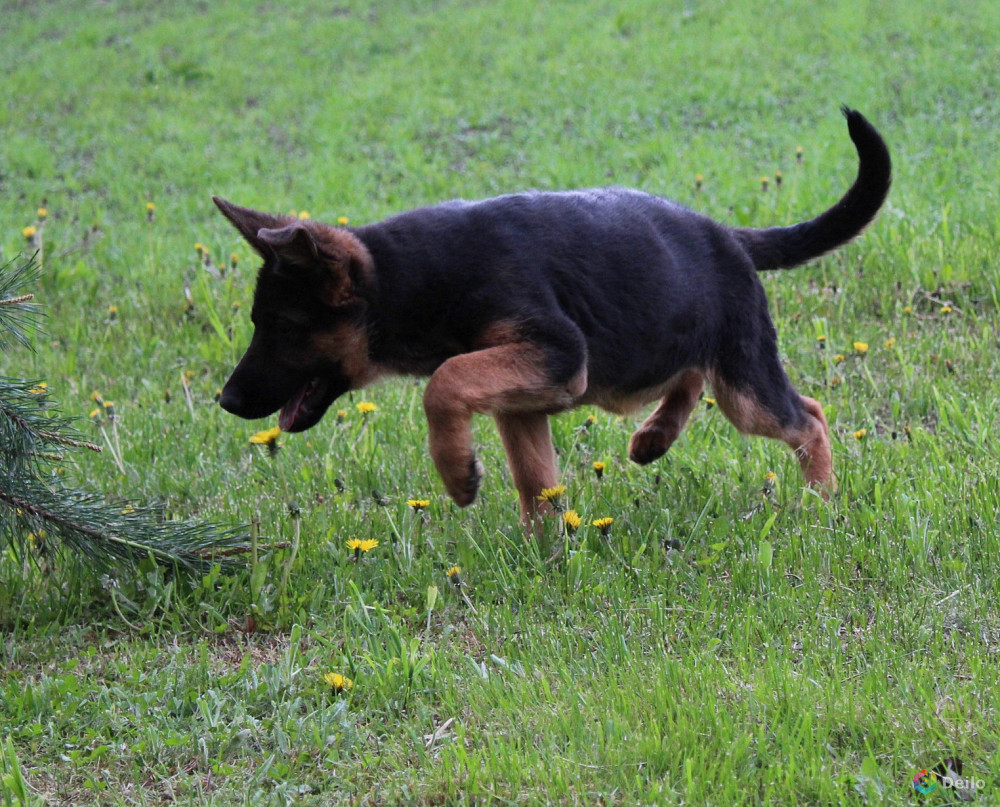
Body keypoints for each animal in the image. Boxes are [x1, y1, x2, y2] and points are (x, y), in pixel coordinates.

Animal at [217, 107, 892, 520]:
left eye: (282, 328)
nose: (224, 402)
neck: (410, 276)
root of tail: (728, 236)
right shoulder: (523, 399)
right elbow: (536, 482)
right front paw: (546, 555)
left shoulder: (557, 352)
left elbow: (443, 382)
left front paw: (457, 474)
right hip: (661, 346)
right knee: (691, 376)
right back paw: (655, 436)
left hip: (743, 381)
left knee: (808, 416)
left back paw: (821, 503)